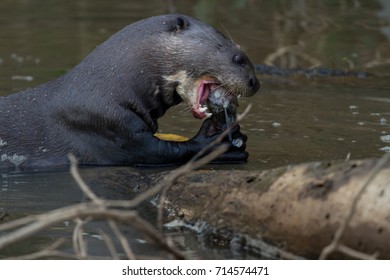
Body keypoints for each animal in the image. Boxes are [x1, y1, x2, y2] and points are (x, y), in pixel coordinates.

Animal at [0, 14, 258, 170]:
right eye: (239, 58)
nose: (255, 82)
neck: (104, 87)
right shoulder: (109, 126)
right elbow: (165, 152)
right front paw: (220, 142)